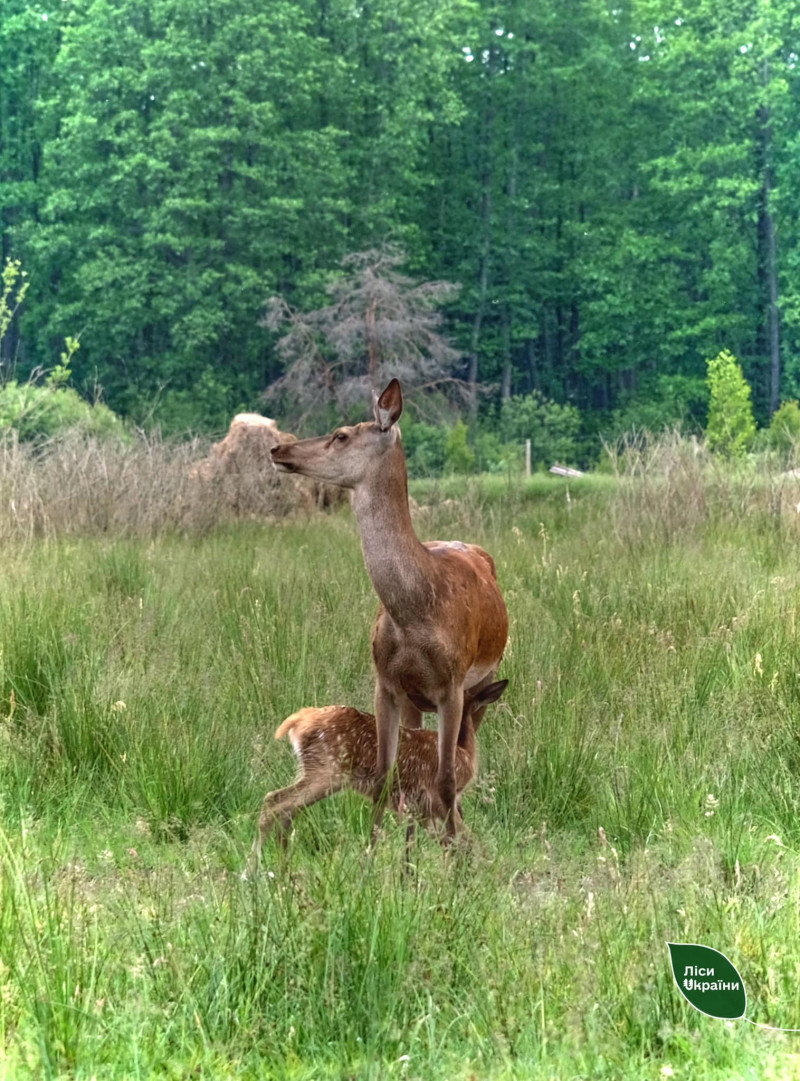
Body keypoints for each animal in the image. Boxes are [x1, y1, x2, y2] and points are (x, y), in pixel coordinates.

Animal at [269, 378, 505, 834]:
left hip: (483, 681)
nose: (277, 448)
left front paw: (453, 848)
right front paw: (374, 848)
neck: (415, 612)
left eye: (341, 434)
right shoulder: (387, 681)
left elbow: (447, 778)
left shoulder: (452, 685)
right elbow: (385, 773)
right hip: (416, 698)